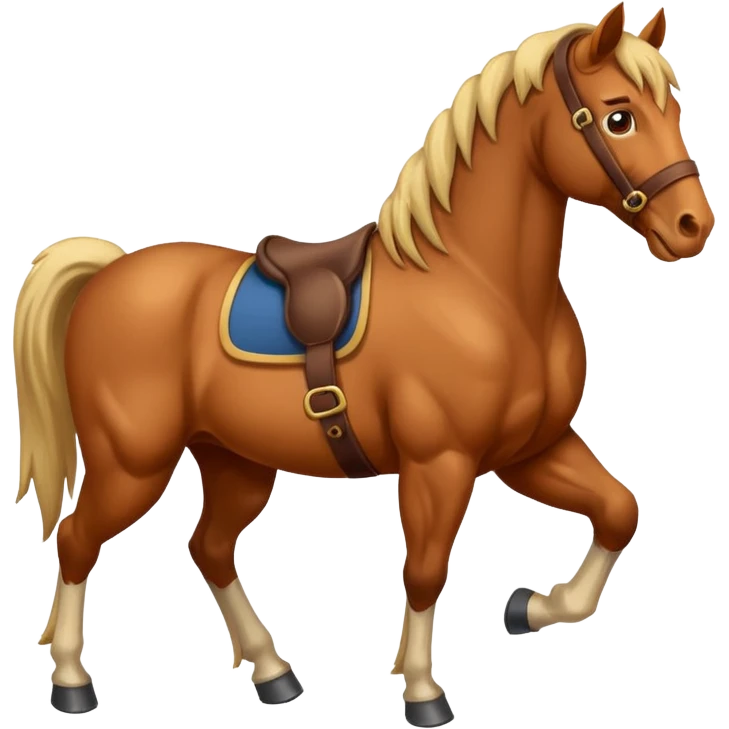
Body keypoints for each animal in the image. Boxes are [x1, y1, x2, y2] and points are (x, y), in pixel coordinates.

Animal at [13, 4, 714, 726]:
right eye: (618, 116)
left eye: (674, 109)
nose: (693, 226)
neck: (479, 286)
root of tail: (107, 275)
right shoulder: (440, 463)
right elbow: (425, 570)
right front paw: (423, 691)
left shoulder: (531, 449)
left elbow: (619, 510)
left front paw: (529, 607)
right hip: (133, 463)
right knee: (76, 539)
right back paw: (71, 681)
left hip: (235, 460)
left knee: (207, 546)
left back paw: (274, 673)